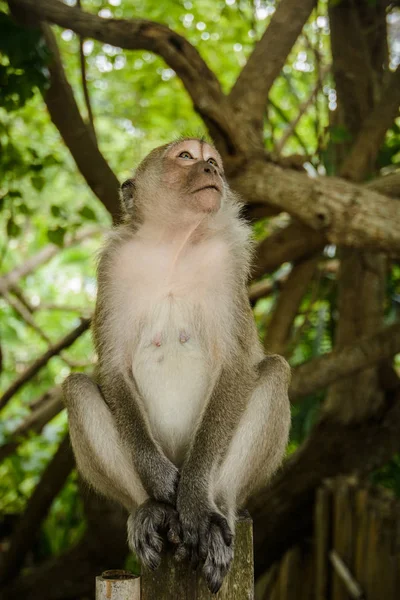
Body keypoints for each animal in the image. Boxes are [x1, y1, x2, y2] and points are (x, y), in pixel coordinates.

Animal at [62, 138, 290, 592]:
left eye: (213, 160)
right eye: (186, 157)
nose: (212, 170)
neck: (174, 242)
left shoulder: (226, 264)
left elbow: (237, 364)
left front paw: (196, 496)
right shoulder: (114, 266)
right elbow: (112, 369)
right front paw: (160, 481)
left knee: (274, 372)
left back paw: (217, 511)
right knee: (77, 388)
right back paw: (151, 508)